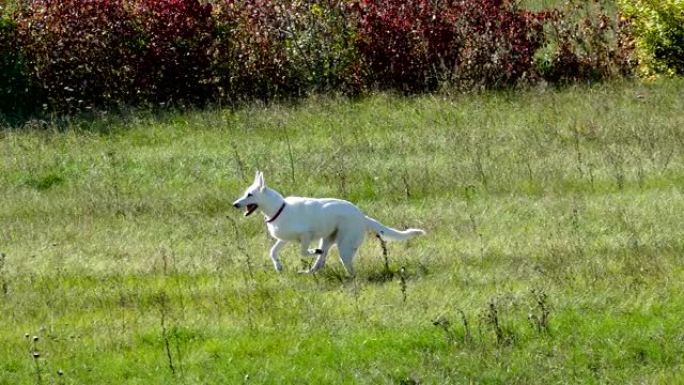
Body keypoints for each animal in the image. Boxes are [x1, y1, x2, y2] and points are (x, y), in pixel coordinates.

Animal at [232, 170, 424, 272]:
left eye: (249, 195)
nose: (234, 204)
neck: (280, 208)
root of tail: (361, 216)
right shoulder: (283, 239)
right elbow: (272, 252)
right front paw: (278, 267)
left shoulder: (306, 235)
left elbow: (303, 251)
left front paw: (311, 251)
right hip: (328, 240)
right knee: (320, 263)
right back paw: (308, 272)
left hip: (344, 247)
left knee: (349, 270)